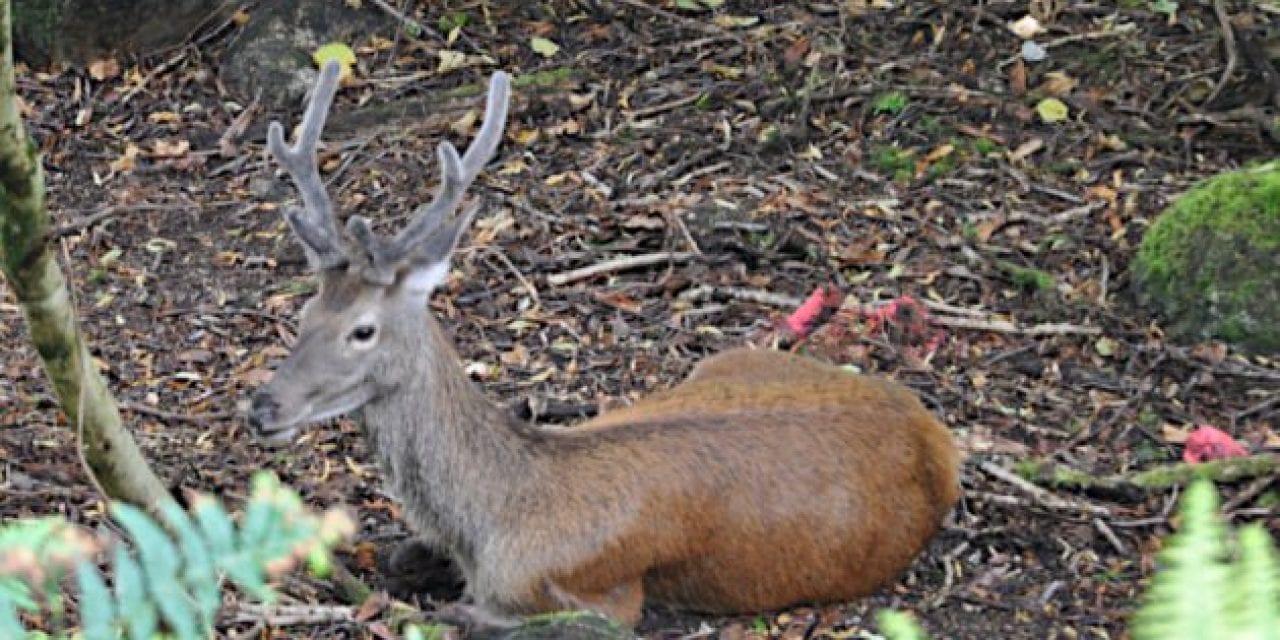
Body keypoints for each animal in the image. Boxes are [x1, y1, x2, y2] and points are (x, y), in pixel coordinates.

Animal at [247, 62, 962, 627]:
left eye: (362, 329)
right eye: (306, 310)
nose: (263, 405)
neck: (492, 520)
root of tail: (936, 435)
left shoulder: (602, 598)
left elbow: (466, 616)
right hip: (725, 360)